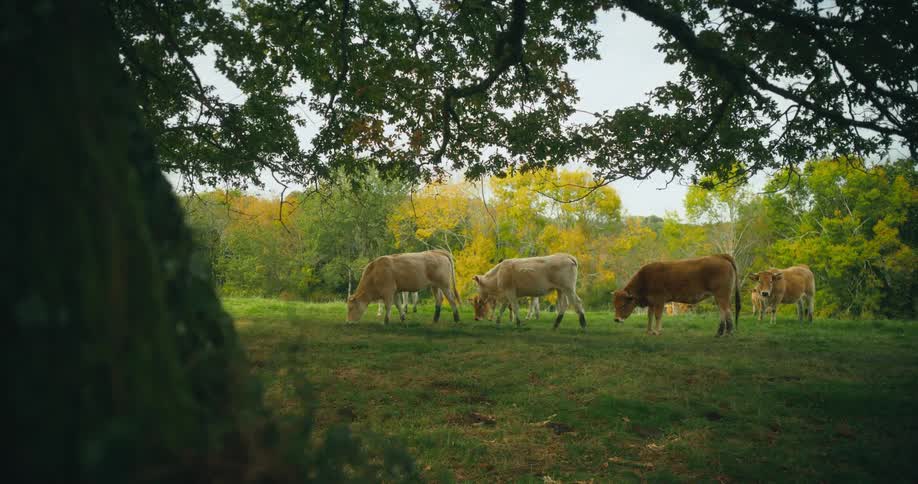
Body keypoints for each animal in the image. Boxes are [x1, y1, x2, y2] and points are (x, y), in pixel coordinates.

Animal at [612, 254, 740, 336]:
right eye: (614, 305)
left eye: (623, 305)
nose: (616, 319)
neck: (645, 278)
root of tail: (719, 256)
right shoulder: (651, 302)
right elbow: (650, 316)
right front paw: (649, 331)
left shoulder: (659, 301)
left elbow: (657, 316)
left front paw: (657, 331)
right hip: (719, 297)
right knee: (723, 311)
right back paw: (720, 333)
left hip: (722, 295)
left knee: (727, 310)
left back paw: (729, 332)